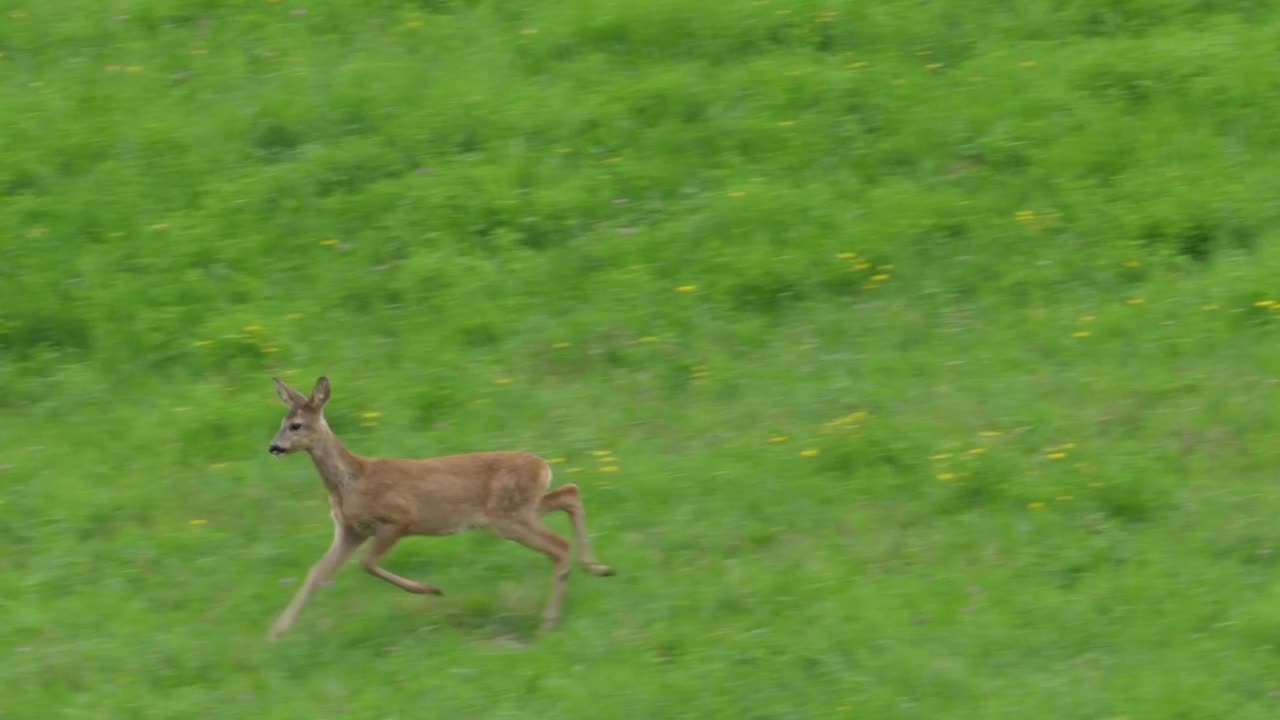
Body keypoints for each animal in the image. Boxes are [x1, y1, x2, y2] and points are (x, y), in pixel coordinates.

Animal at [262, 371, 611, 635]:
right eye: (282, 421)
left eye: (296, 425)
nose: (274, 447)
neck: (352, 480)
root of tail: (544, 466)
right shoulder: (350, 530)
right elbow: (316, 573)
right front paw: (277, 633)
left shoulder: (398, 519)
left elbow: (367, 564)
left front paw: (430, 590)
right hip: (522, 508)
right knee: (570, 493)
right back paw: (598, 568)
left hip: (508, 516)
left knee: (559, 545)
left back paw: (550, 621)